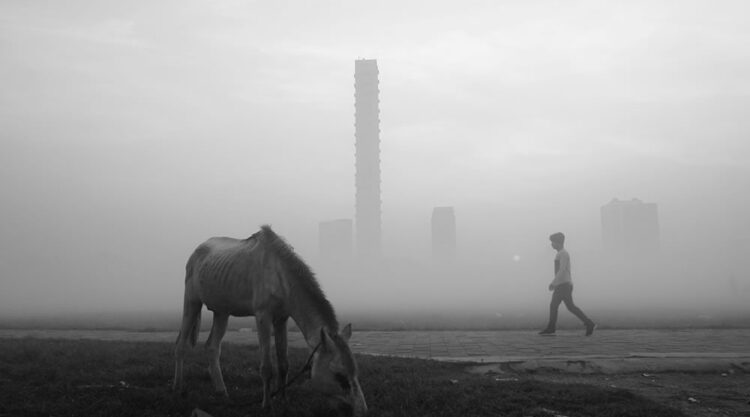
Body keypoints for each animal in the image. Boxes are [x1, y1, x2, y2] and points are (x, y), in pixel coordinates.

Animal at [174, 226, 368, 414]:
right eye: (339, 375)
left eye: (355, 372)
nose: (362, 411)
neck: (279, 275)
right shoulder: (263, 316)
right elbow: (267, 367)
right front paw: (267, 405)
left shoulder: (281, 319)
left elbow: (284, 363)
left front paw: (283, 399)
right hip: (192, 301)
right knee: (181, 345)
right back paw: (179, 388)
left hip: (222, 312)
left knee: (212, 347)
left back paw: (222, 392)